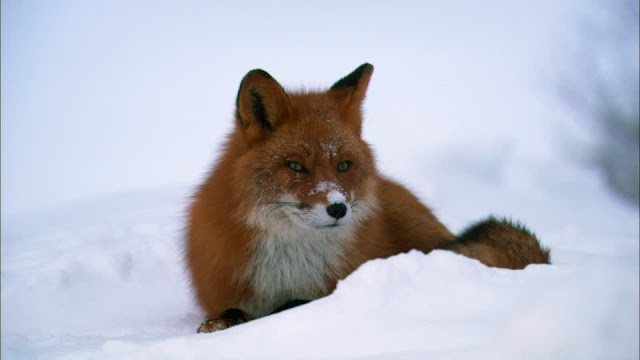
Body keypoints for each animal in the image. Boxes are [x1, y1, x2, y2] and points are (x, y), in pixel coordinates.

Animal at [186, 62, 552, 332]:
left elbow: (296, 305)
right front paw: (223, 323)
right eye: (296, 166)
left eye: (344, 165)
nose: (337, 207)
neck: (291, 267)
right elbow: (231, 313)